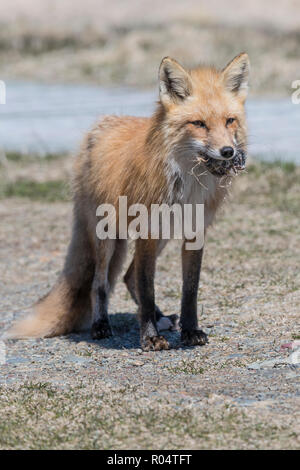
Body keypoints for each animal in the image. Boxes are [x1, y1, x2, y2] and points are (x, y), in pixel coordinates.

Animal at [7, 53, 251, 350]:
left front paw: (190, 331)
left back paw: (161, 318)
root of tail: (101, 125)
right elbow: (147, 289)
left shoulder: (194, 233)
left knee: (127, 276)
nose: (228, 152)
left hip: (162, 236)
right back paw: (101, 325)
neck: (187, 184)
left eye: (230, 121)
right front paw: (149, 338)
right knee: (100, 282)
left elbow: (189, 290)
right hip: (107, 238)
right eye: (199, 124)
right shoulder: (147, 232)